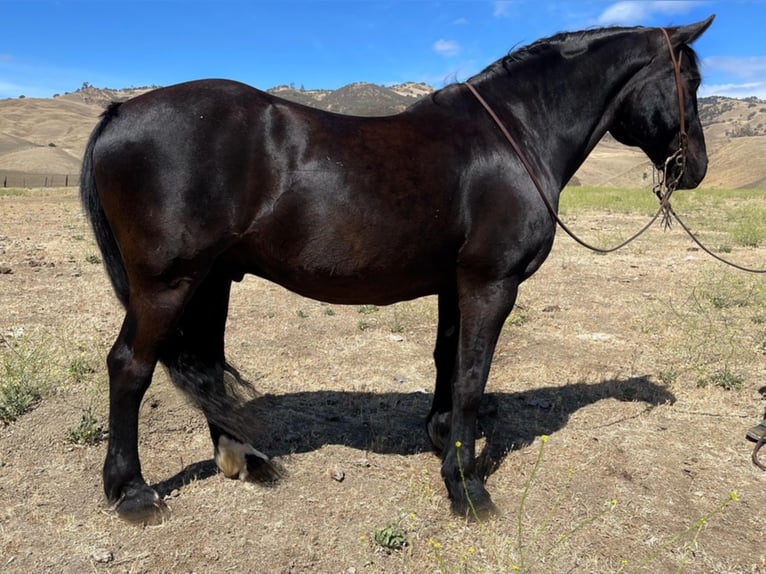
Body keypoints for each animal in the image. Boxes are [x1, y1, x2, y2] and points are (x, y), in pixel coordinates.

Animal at [82, 18, 712, 524]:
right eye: (692, 81)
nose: (697, 168)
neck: (514, 137)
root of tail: (120, 112)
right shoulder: (491, 283)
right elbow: (472, 374)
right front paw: (467, 488)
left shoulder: (456, 285)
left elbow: (448, 361)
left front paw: (442, 442)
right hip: (167, 283)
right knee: (130, 367)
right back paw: (131, 492)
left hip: (211, 279)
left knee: (206, 366)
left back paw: (243, 459)